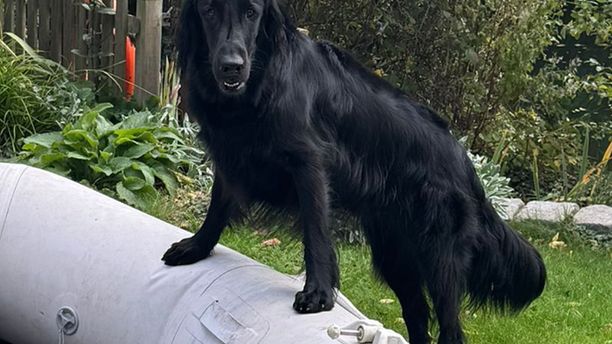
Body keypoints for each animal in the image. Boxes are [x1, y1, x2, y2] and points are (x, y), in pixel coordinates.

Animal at [161, 1, 544, 342]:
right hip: (394, 254)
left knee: (450, 328)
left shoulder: (309, 164)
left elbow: (315, 233)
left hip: (440, 259)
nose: (231, 67)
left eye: (251, 13)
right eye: (209, 11)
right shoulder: (231, 156)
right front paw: (197, 247)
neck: (259, 82)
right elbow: (217, 208)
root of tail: (465, 162)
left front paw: (318, 292)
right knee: (418, 314)